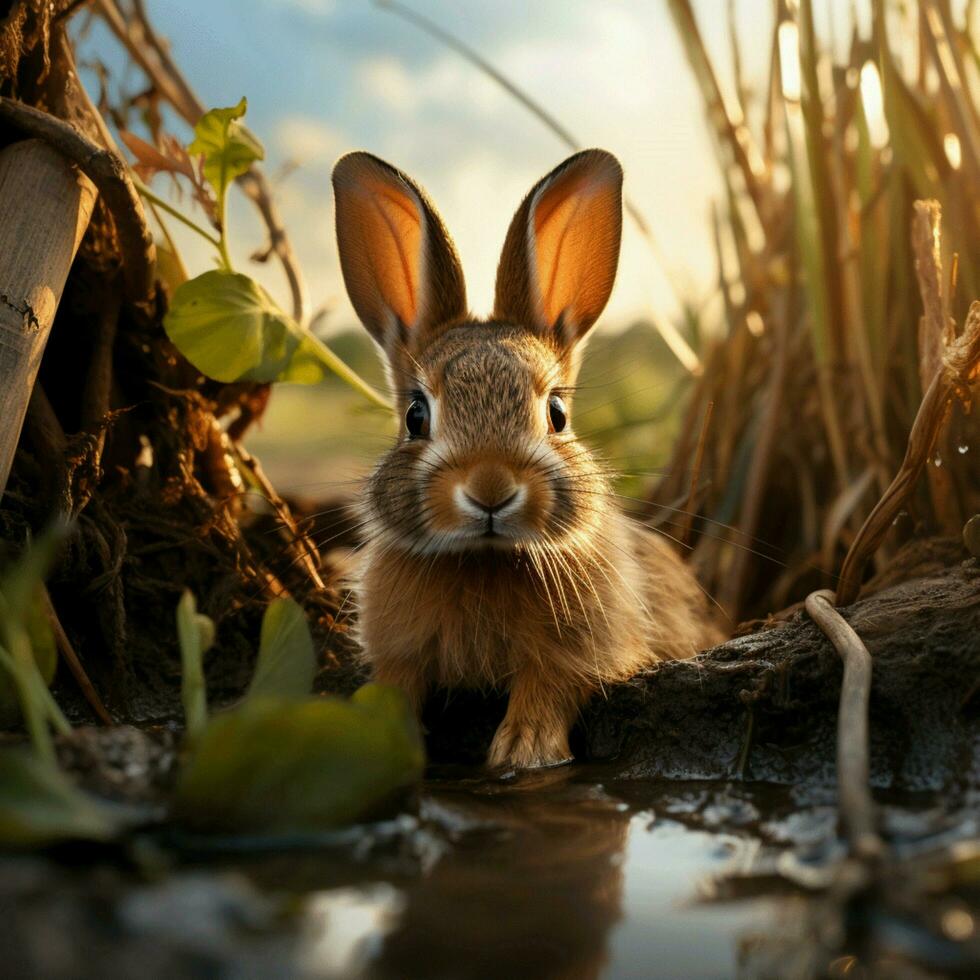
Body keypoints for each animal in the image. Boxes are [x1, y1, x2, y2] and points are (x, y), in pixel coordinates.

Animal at [330, 147, 720, 772]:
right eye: (415, 416)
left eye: (556, 413)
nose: (490, 490)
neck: (485, 559)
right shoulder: (399, 653)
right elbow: (397, 687)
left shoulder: (581, 648)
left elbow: (548, 684)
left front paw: (525, 752)